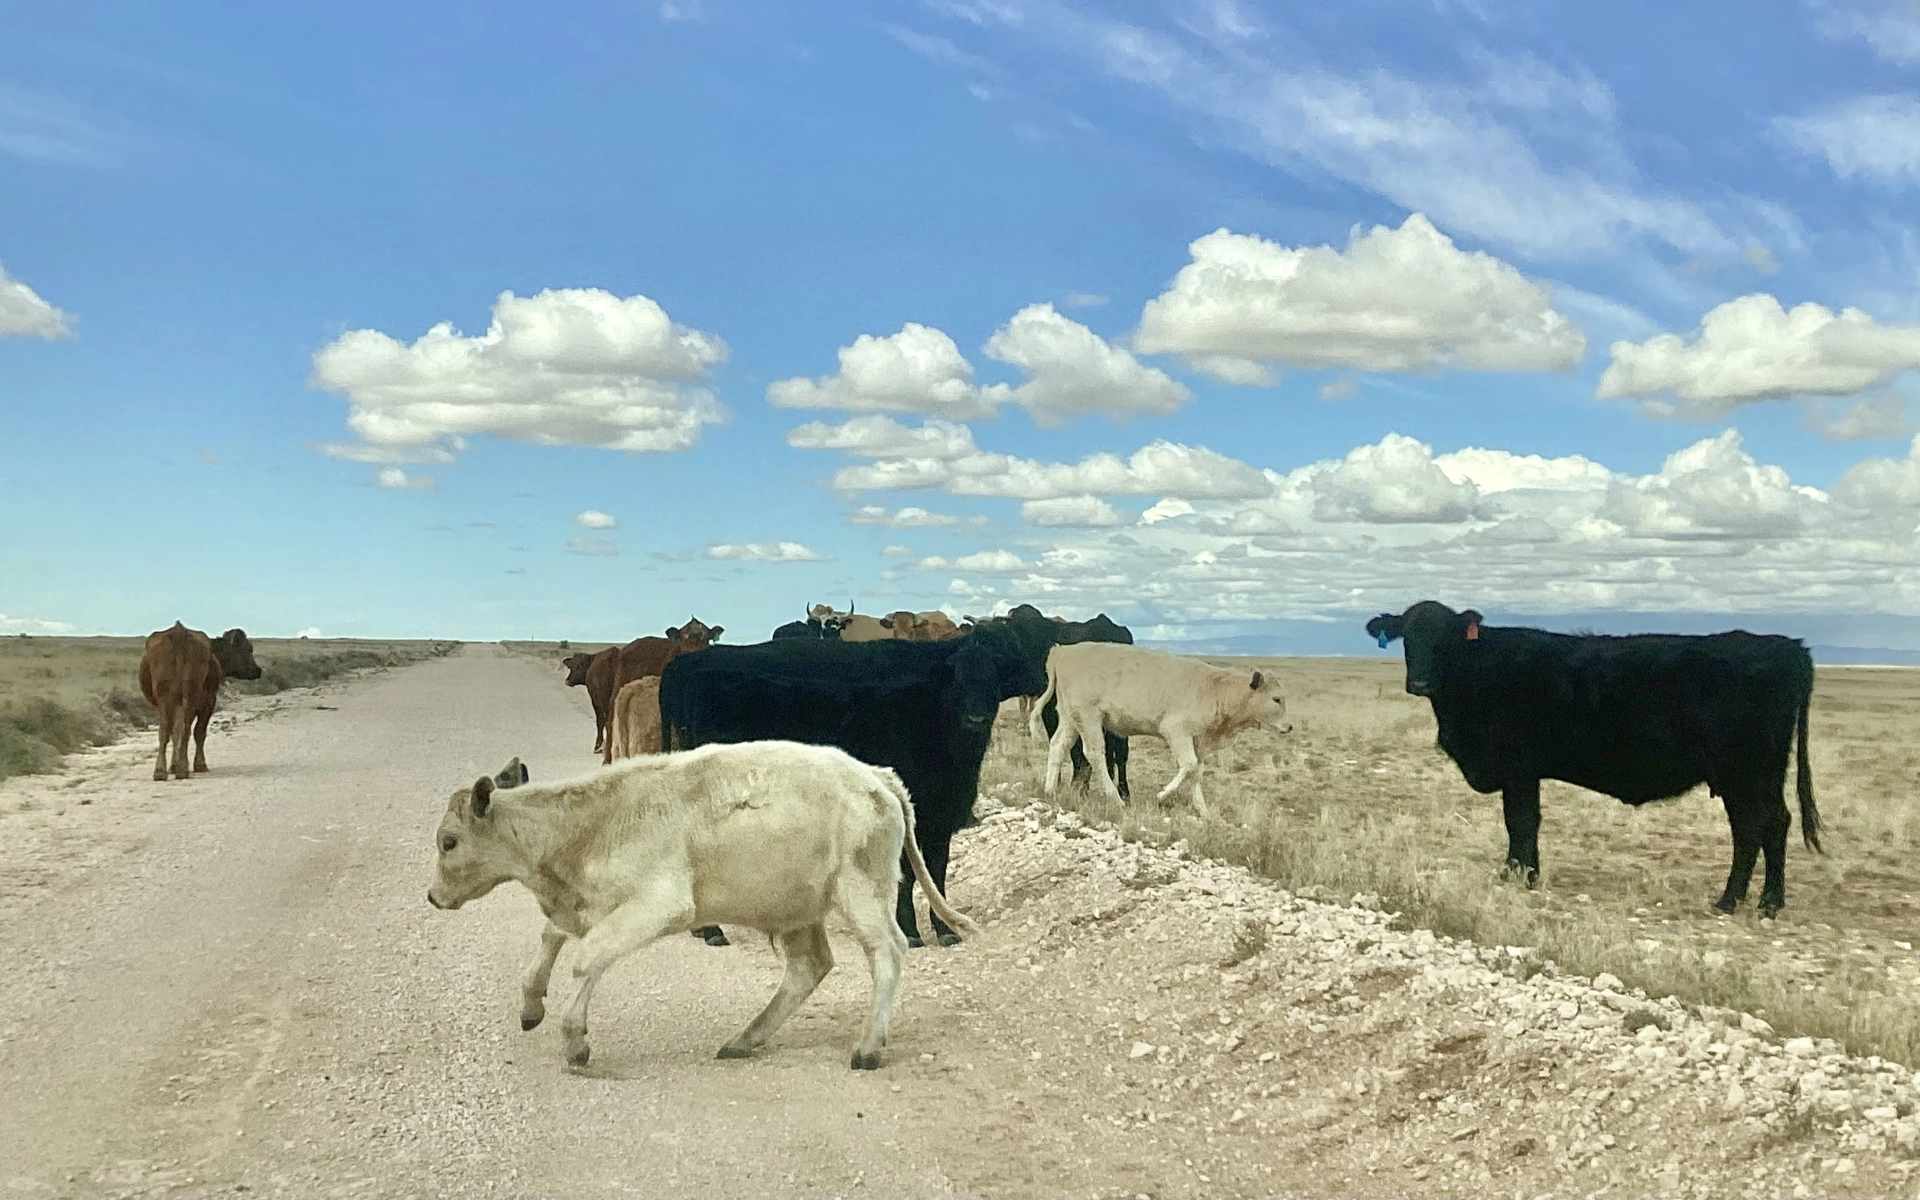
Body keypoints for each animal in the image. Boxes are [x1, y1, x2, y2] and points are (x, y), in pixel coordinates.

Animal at [138, 622, 264, 781]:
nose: (257, 670)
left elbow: (175, 732)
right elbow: (198, 732)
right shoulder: (209, 701)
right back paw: (183, 769)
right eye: (248, 649)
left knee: (166, 731)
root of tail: (179, 632)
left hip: (166, 698)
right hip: (191, 698)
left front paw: (173, 766)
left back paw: (161, 771)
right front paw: (198, 764)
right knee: (188, 730)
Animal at [426, 745, 975, 1070]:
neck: (587, 826)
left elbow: (586, 958)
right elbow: (553, 937)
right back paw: (744, 1039)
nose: (433, 896)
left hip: (863, 892)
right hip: (795, 907)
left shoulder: (658, 904)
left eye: (449, 842)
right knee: (809, 967)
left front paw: (574, 1041)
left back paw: (866, 1048)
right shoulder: (589, 906)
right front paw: (531, 1005)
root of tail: (875, 775)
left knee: (887, 952)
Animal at [659, 608, 1059, 947]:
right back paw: (712, 930)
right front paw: (911, 931)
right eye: (958, 680)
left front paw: (945, 928)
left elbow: (937, 869)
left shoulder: (940, 815)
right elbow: (907, 874)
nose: (976, 718)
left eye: (995, 673)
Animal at [1031, 642, 1290, 815]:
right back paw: (1116, 799)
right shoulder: (1176, 731)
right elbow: (1189, 765)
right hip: (1088, 717)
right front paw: (1162, 795)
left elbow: (1197, 771)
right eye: (1277, 699)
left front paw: (1203, 810)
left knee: (1058, 745)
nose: (1289, 726)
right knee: (1095, 753)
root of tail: (1063, 651)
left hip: (1070, 718)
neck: (1216, 689)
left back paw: (1050, 790)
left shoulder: (1200, 740)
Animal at [1365, 600, 1822, 917]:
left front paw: (1522, 876)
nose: (1419, 683)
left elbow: (1521, 821)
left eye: (1444, 639)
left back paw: (1752, 902)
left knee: (1763, 826)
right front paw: (1517, 872)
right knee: (1760, 827)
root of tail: (1786, 646)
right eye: (1406, 636)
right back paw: (1748, 900)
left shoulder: (1518, 768)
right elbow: (1519, 823)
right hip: (1749, 775)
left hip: (1746, 772)